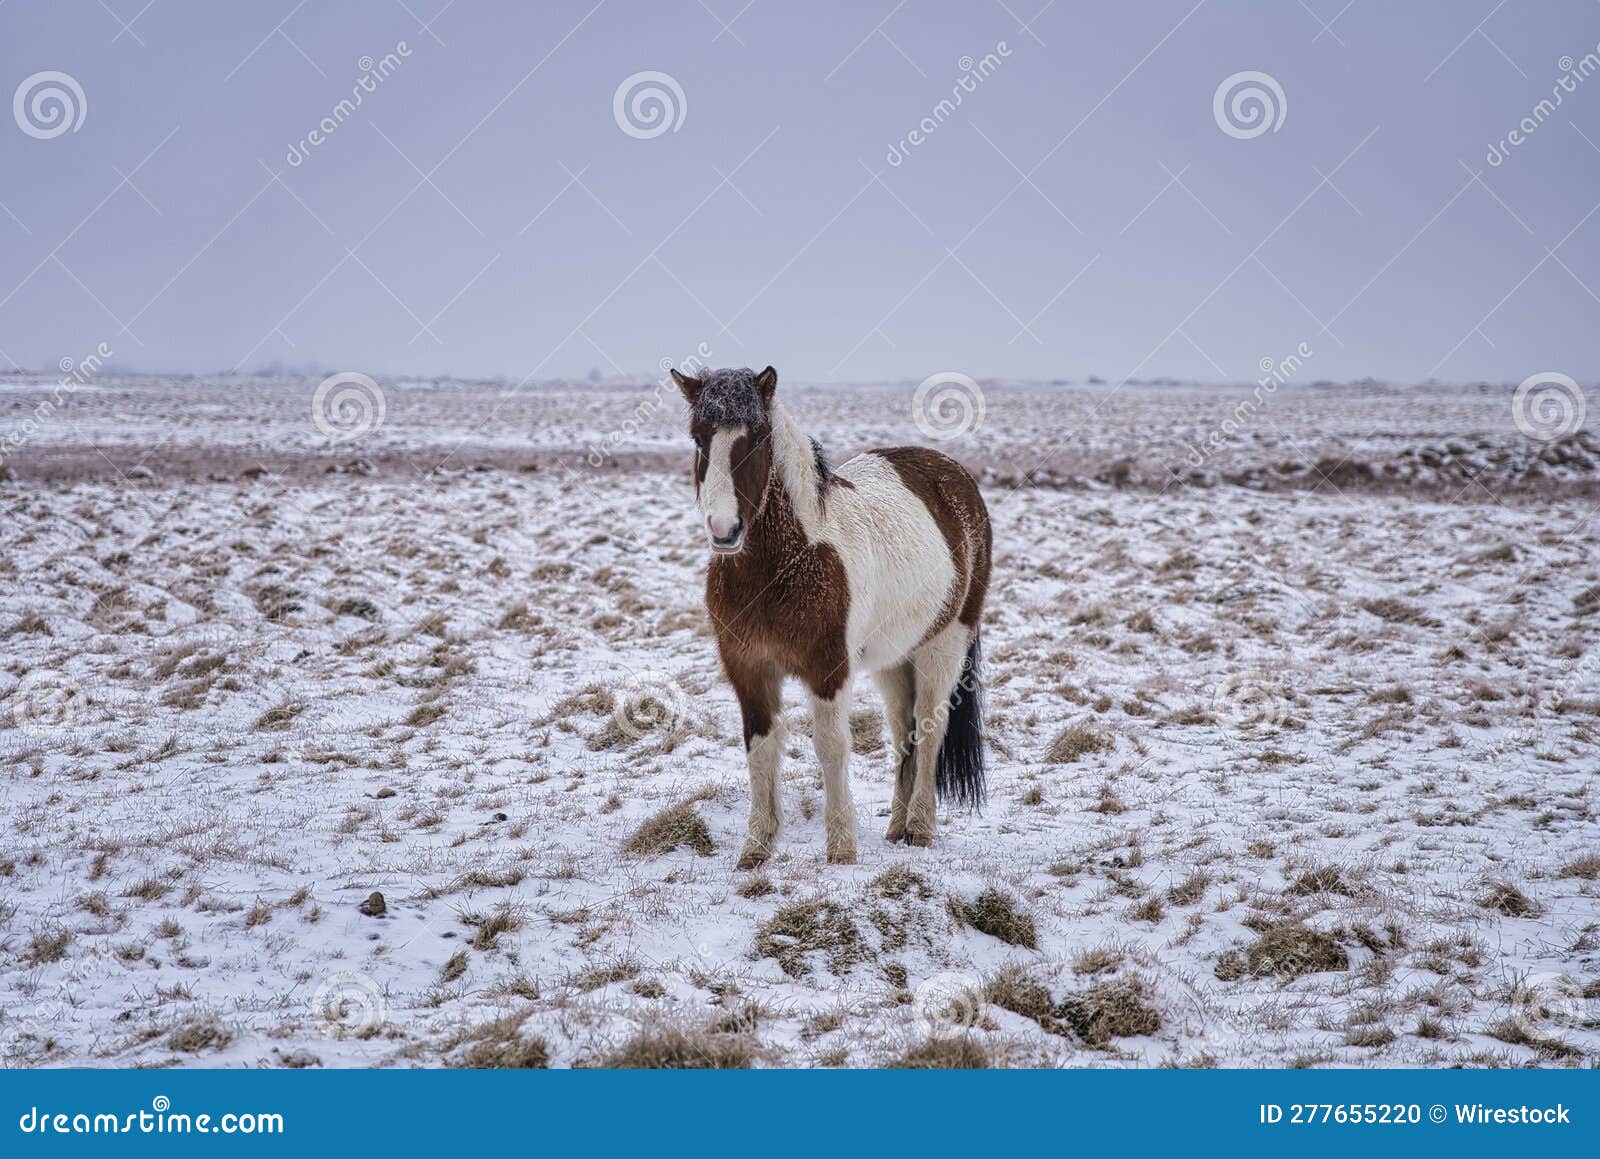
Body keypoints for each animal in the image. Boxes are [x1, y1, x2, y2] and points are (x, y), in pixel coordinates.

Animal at [670, 364, 992, 867]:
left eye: (758, 437)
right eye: (698, 437)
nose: (724, 530)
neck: (787, 562)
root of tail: (954, 475)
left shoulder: (828, 669)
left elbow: (831, 747)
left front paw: (841, 850)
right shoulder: (749, 669)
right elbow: (760, 749)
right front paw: (756, 850)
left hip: (945, 643)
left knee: (929, 726)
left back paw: (920, 828)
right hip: (895, 657)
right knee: (903, 730)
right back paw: (897, 827)